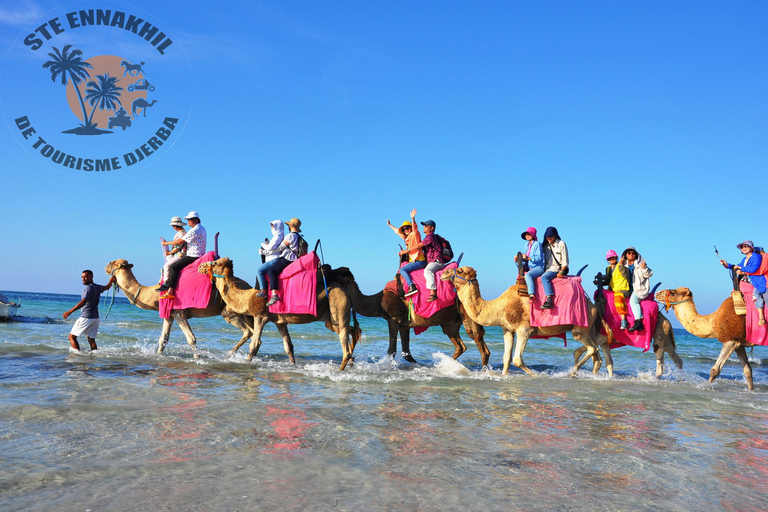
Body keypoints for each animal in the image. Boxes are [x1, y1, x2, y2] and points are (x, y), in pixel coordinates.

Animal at [104, 258, 252, 358]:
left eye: (112, 263)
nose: (105, 268)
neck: (154, 293)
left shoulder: (179, 312)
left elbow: (191, 339)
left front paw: (197, 358)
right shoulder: (169, 313)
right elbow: (163, 339)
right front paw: (158, 355)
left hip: (231, 312)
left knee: (248, 331)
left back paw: (232, 353)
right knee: (250, 331)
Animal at [201, 258, 364, 370]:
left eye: (215, 262)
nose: (200, 266)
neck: (247, 298)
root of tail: (346, 293)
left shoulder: (261, 316)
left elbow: (255, 344)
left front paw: (247, 363)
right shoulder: (280, 322)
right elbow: (288, 347)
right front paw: (293, 366)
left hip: (339, 306)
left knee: (345, 345)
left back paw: (340, 369)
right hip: (331, 319)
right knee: (352, 330)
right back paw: (351, 361)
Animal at [332, 268, 492, 368]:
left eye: (336, 272)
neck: (378, 301)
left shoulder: (393, 319)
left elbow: (392, 351)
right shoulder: (404, 324)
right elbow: (406, 353)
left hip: (469, 315)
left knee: (480, 344)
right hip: (450, 323)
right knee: (460, 345)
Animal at [440, 266, 604, 374]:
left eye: (459, 271)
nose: (443, 274)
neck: (500, 306)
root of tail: (592, 305)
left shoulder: (524, 330)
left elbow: (517, 360)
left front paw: (537, 377)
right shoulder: (507, 330)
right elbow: (506, 358)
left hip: (580, 329)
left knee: (592, 348)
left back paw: (573, 371)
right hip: (589, 330)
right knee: (596, 355)